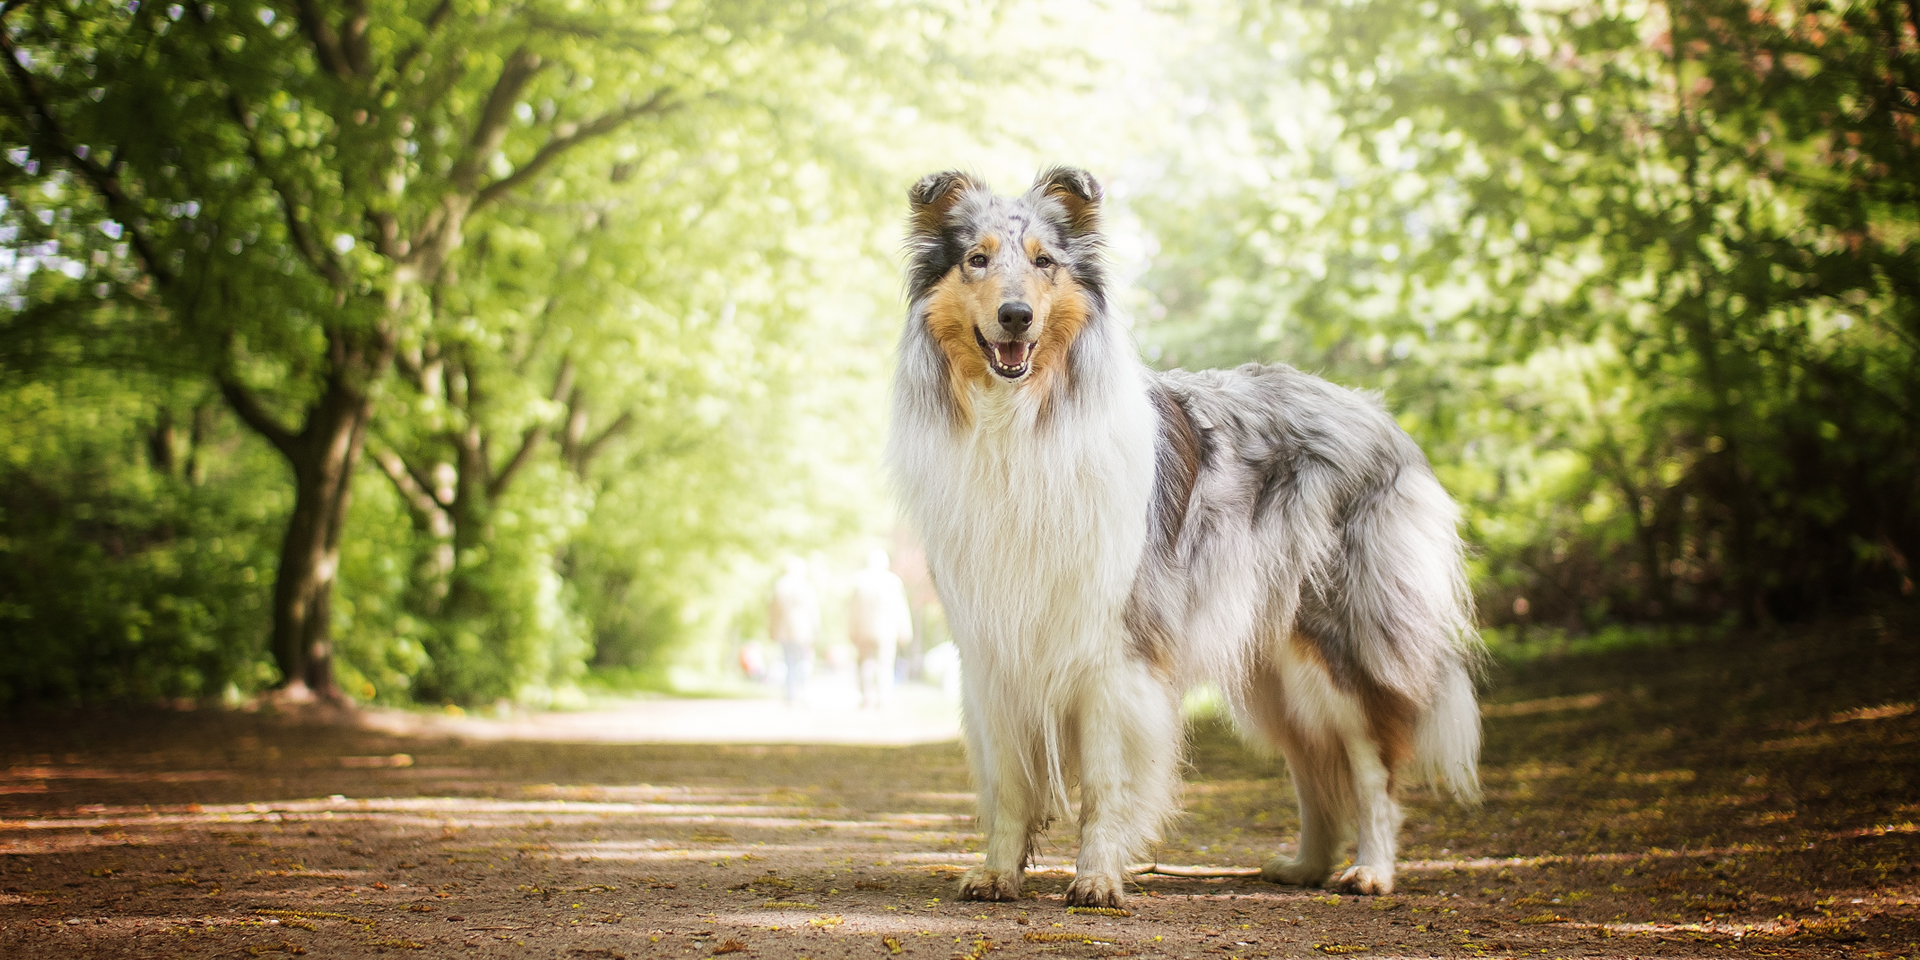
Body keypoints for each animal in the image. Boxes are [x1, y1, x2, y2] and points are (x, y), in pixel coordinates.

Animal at [883, 167, 1482, 906]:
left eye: (1045, 262)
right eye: (976, 258)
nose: (1016, 316)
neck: (1021, 423)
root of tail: (1382, 418)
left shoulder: (1112, 647)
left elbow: (1104, 780)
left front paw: (1097, 879)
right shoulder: (994, 649)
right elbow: (1010, 783)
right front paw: (997, 872)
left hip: (1337, 643)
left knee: (1372, 766)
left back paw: (1369, 870)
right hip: (1269, 668)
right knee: (1314, 766)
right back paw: (1304, 866)